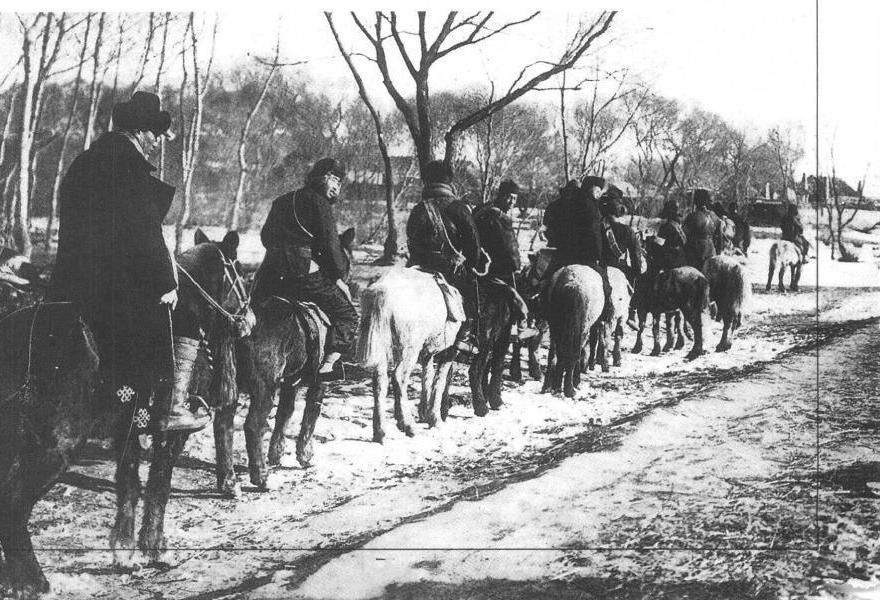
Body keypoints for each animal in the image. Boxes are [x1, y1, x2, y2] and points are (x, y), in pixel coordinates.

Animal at [0, 230, 251, 596]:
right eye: (241, 275)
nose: (249, 322)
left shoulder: (128, 431)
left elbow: (129, 485)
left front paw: (125, 553)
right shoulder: (171, 434)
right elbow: (158, 487)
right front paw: (156, 550)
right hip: (54, 446)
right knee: (13, 506)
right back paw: (35, 583)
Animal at [229, 227, 356, 490]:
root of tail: (243, 324)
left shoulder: (291, 382)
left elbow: (284, 415)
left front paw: (276, 454)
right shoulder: (319, 383)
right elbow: (310, 417)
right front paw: (304, 456)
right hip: (264, 389)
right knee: (253, 426)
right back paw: (260, 477)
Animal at [354, 268, 460, 440]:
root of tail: (382, 290)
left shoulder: (427, 352)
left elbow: (428, 377)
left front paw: (425, 413)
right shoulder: (449, 350)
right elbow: (439, 381)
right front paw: (435, 418)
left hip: (384, 344)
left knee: (380, 381)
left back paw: (380, 432)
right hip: (409, 348)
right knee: (399, 377)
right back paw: (407, 424)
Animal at [544, 266, 604, 398]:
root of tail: (571, 285)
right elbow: (579, 353)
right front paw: (575, 382)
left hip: (556, 325)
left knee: (556, 353)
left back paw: (553, 386)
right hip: (579, 328)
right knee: (572, 354)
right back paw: (569, 388)